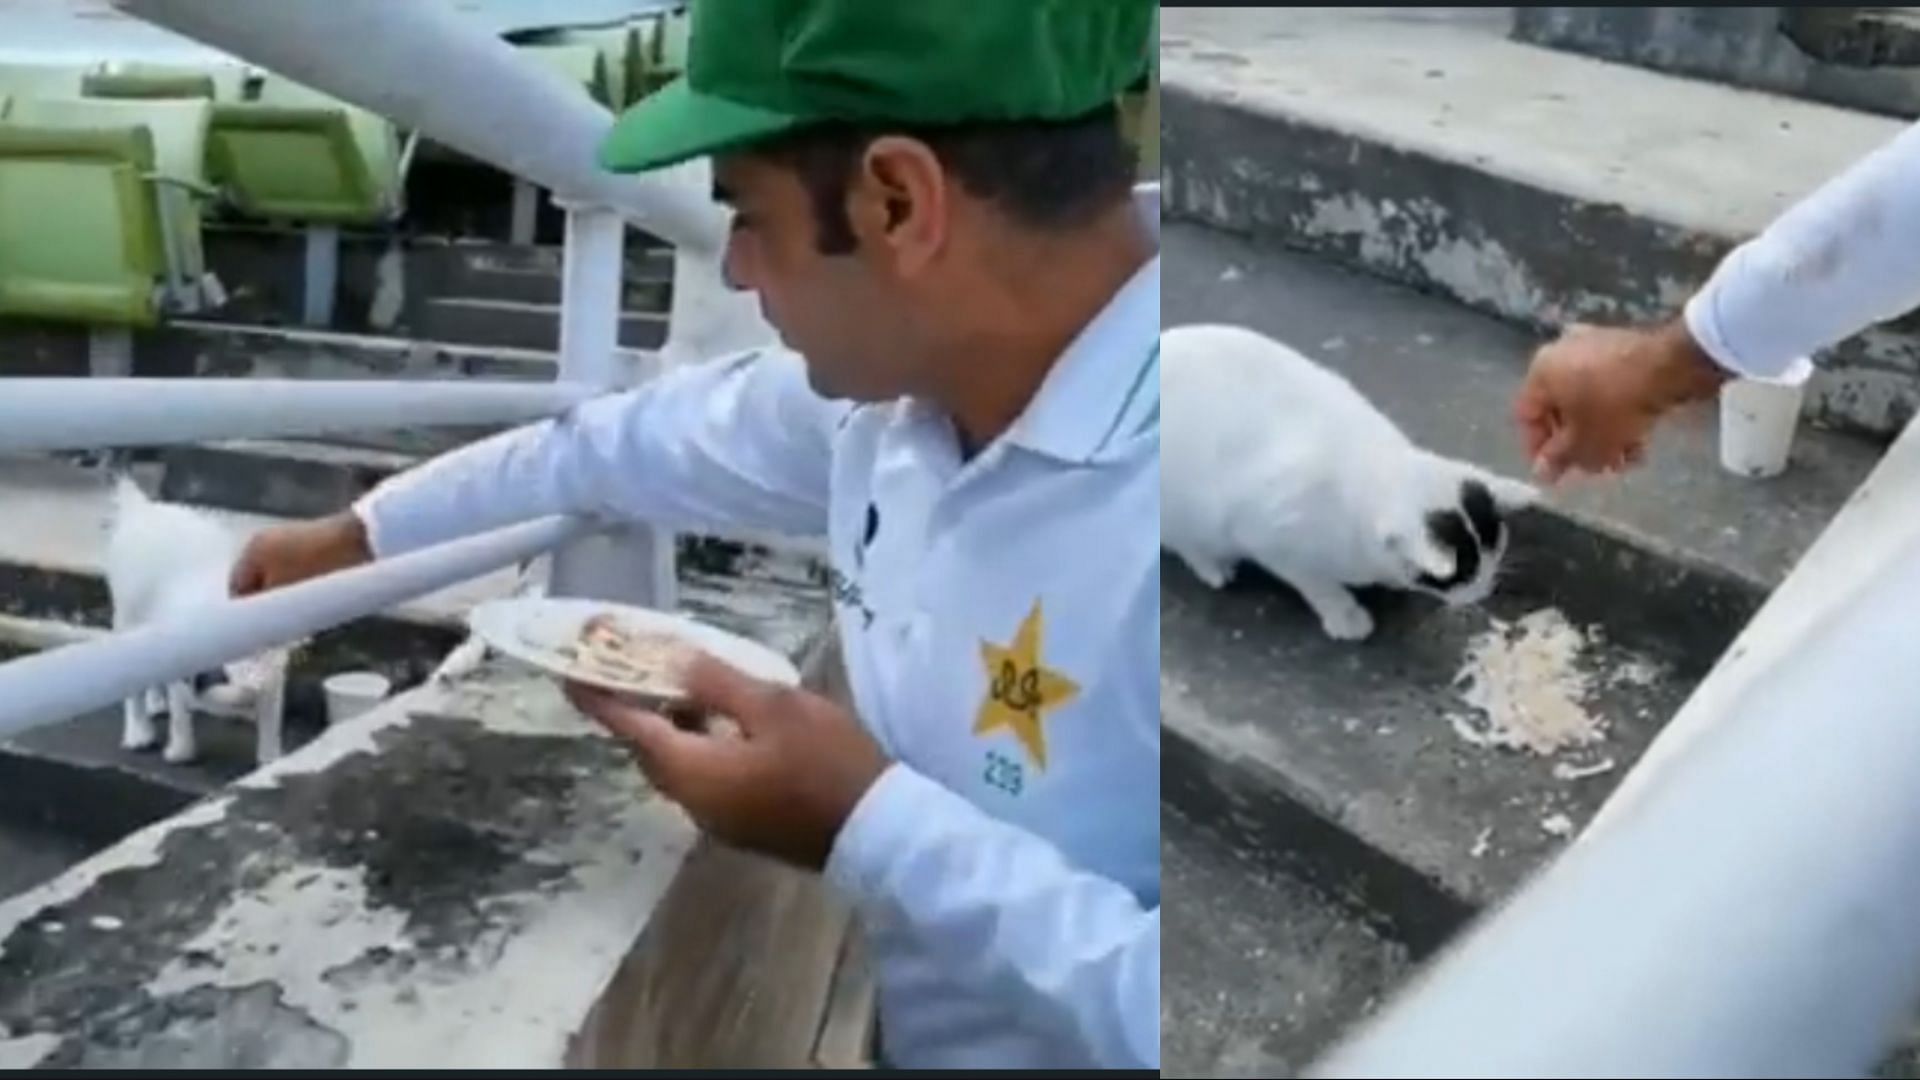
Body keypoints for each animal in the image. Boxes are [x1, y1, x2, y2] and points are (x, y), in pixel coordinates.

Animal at [105, 474, 288, 760]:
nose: (252, 688)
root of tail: (142, 509)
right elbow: (181, 713)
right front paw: (179, 754)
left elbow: (272, 719)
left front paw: (270, 759)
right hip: (127, 616)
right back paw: (139, 736)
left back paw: (157, 706)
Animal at [1159, 319, 1536, 638]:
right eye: (1464, 574)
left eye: (1495, 554)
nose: (1484, 590)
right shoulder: (1269, 537)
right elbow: (1316, 583)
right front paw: (1346, 616)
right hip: (1184, 507)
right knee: (1185, 540)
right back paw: (1213, 567)